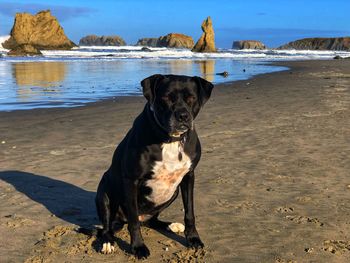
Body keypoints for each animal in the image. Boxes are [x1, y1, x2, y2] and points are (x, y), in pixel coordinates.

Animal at [95, 73, 213, 258]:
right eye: (166, 98)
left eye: (192, 98)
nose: (183, 116)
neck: (171, 140)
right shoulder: (131, 180)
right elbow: (133, 222)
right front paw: (138, 247)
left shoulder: (189, 176)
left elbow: (190, 213)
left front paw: (193, 238)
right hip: (104, 192)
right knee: (109, 225)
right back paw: (108, 241)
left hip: (173, 192)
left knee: (152, 221)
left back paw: (171, 225)